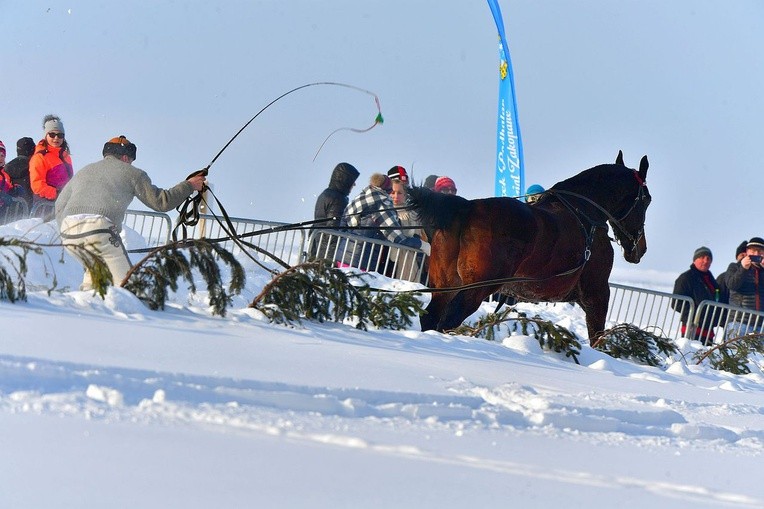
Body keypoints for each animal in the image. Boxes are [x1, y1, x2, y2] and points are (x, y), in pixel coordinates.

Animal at [406, 151, 652, 338]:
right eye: (647, 200)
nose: (641, 248)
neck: (586, 213)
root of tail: (467, 208)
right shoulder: (597, 293)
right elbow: (597, 337)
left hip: (445, 286)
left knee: (431, 318)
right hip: (475, 289)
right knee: (448, 320)